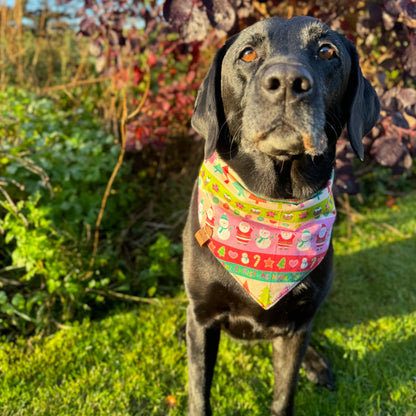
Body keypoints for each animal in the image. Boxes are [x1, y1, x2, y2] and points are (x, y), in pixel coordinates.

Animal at [184, 16, 378, 416]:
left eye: (327, 51)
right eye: (247, 53)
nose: (288, 82)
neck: (273, 202)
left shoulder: (296, 325)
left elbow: (284, 393)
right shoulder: (201, 319)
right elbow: (199, 393)